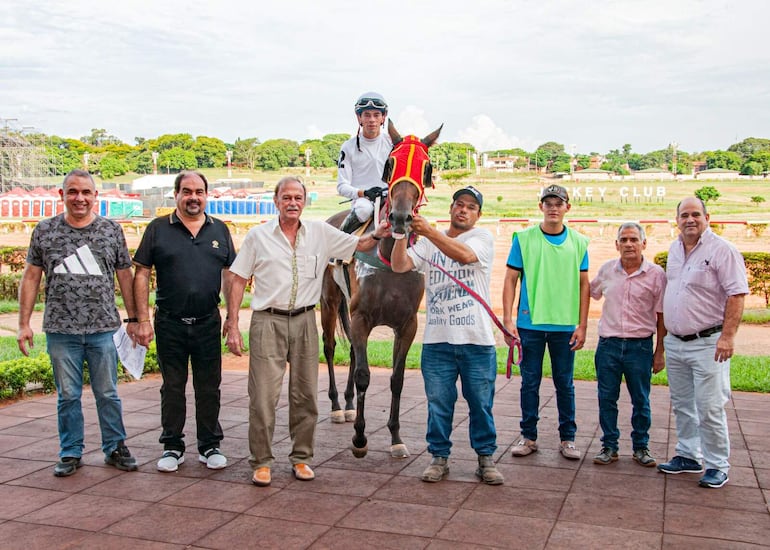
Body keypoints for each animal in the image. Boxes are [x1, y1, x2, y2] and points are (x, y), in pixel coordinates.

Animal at [320, 121, 440, 462]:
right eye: (390, 164)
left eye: (426, 167)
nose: (400, 217)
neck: (390, 259)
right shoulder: (362, 318)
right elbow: (364, 374)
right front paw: (360, 438)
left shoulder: (407, 324)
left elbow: (397, 380)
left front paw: (396, 438)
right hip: (329, 301)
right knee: (330, 347)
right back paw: (337, 406)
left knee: (348, 350)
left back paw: (348, 404)